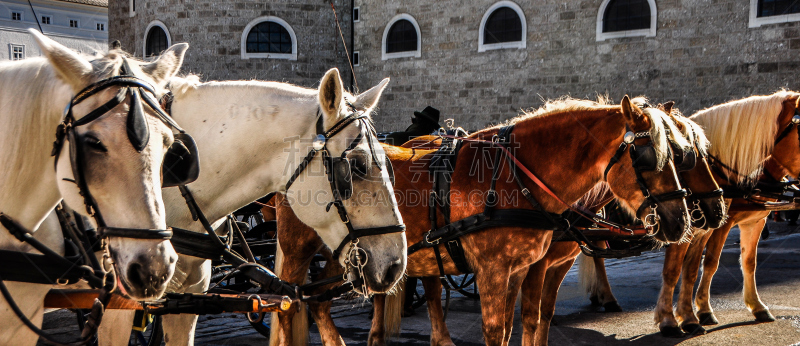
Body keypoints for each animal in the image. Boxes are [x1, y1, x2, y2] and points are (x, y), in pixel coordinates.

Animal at [270, 95, 692, 346]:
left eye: (681, 154)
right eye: (648, 158)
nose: (680, 222)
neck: (516, 175)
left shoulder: (522, 268)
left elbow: (522, 322)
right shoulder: (494, 270)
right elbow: (497, 329)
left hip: (347, 253)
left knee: (322, 302)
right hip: (301, 250)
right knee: (287, 303)